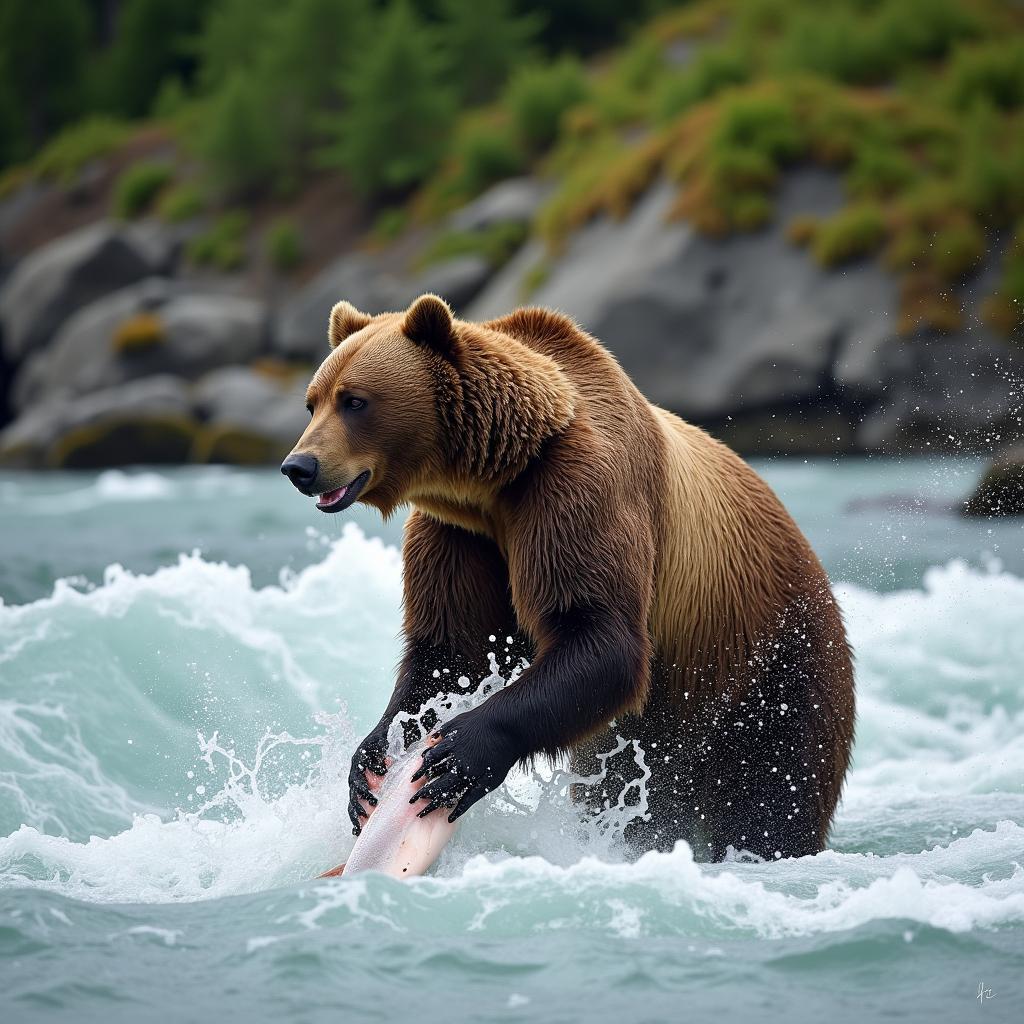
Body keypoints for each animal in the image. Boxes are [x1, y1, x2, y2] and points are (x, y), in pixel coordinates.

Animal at [282, 292, 856, 860]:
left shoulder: (578, 492)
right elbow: (451, 650)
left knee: (775, 791)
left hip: (769, 667)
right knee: (630, 792)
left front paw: (460, 753)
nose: (299, 466)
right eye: (313, 401)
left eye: (355, 401)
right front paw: (369, 761)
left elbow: (600, 636)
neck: (495, 482)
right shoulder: (460, 536)